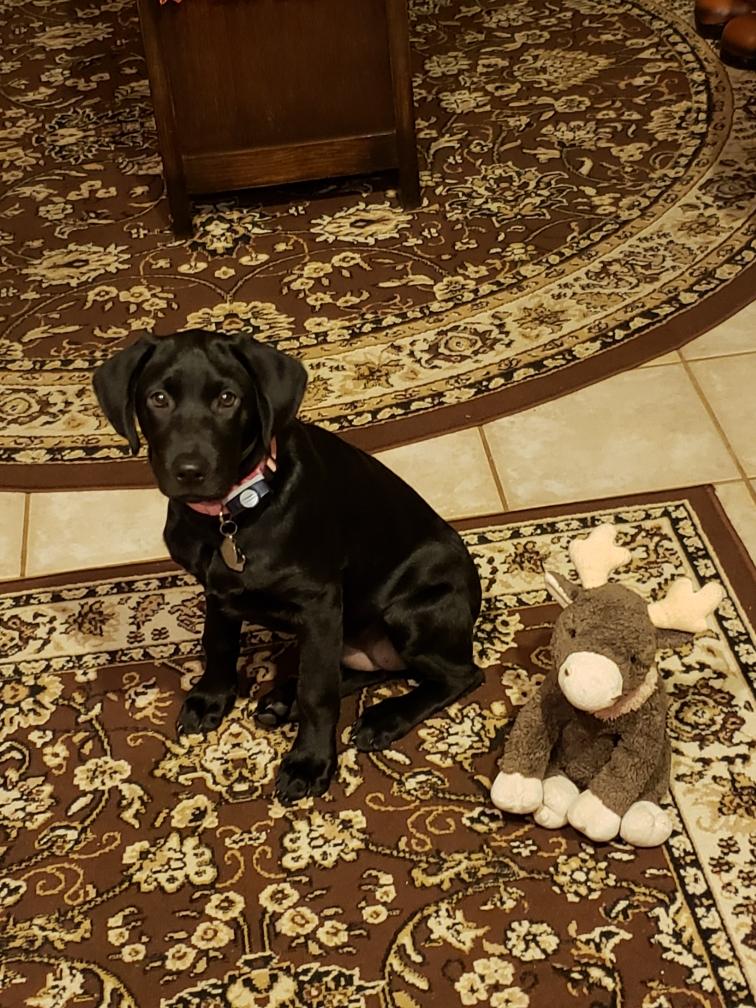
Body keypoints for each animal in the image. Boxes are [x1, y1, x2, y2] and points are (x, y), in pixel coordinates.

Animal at [93, 330, 482, 803]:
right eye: (158, 398)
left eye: (227, 398)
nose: (190, 471)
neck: (234, 514)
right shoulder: (218, 591)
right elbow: (218, 644)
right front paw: (211, 699)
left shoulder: (319, 605)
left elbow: (318, 692)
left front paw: (309, 762)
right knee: (369, 668)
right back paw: (285, 699)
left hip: (410, 613)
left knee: (459, 675)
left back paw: (383, 718)